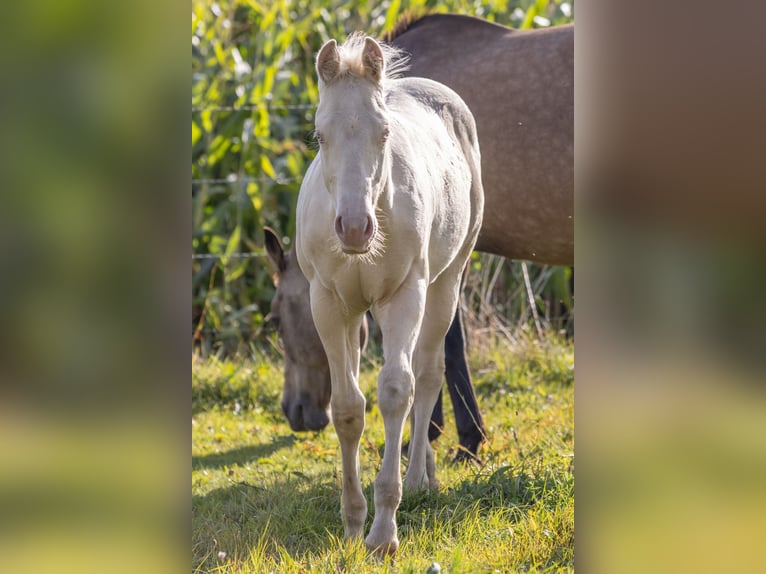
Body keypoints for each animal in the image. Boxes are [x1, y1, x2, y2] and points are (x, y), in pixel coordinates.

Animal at [268, 13, 572, 462]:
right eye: (319, 136)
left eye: (276, 318)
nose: (297, 411)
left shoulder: (441, 268)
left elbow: (445, 350)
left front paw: (450, 438)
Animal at [296, 32, 484, 560]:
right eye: (319, 136)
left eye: (383, 134)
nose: (354, 228)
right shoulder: (329, 304)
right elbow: (347, 407)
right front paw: (352, 521)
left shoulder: (405, 296)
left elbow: (398, 390)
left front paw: (383, 530)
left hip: (445, 282)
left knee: (429, 372)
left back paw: (420, 478)